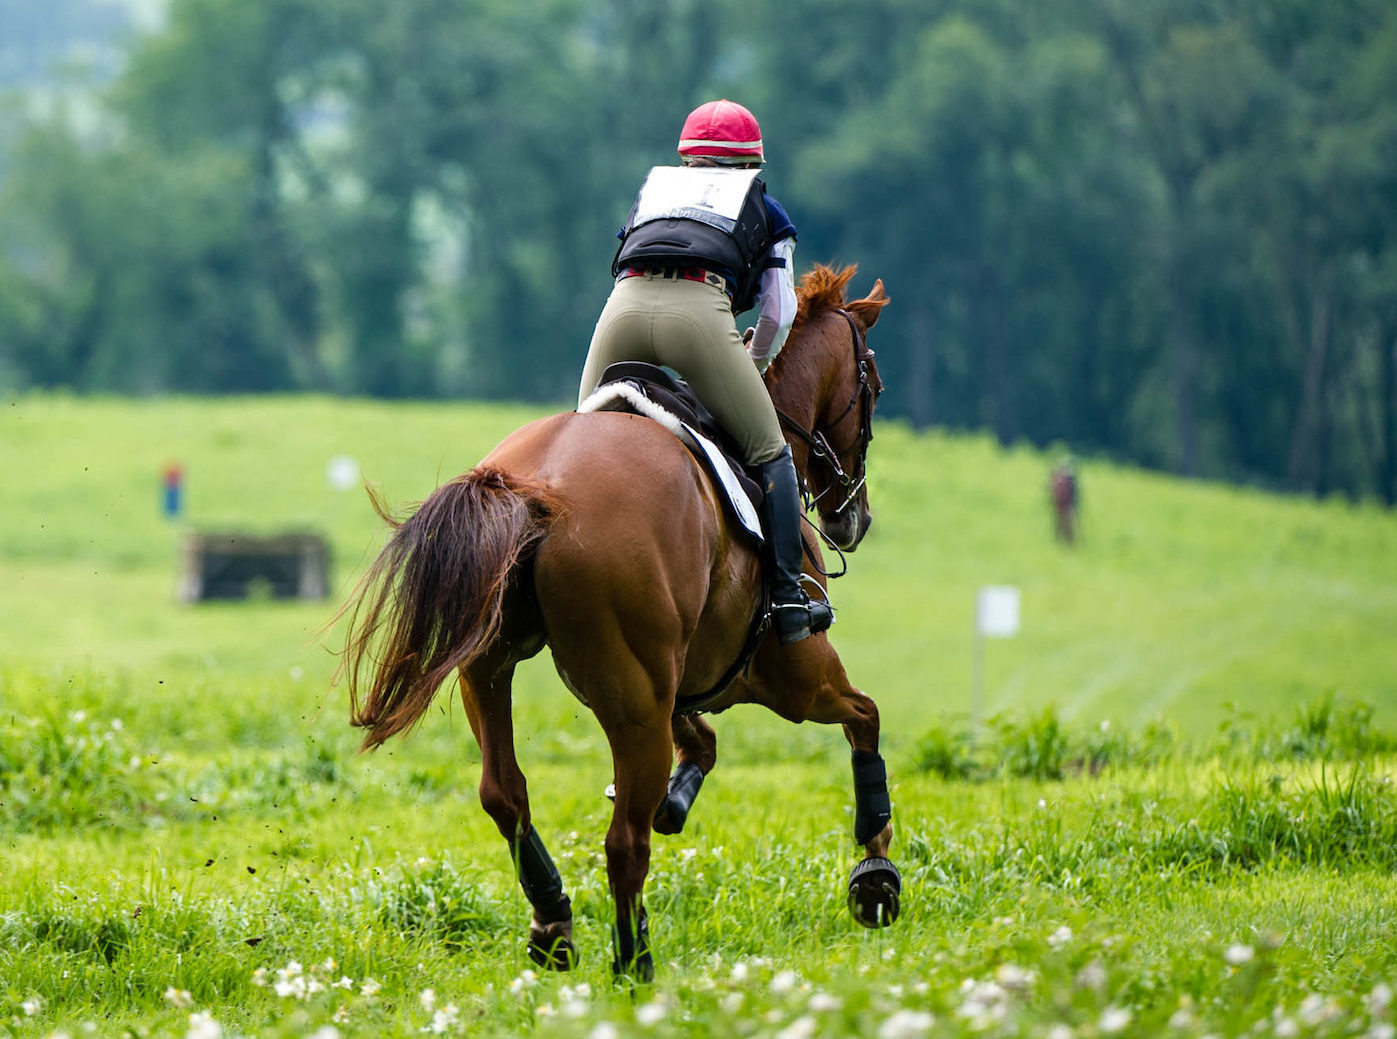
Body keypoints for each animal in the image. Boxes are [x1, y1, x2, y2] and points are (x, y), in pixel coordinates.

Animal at [339, 264, 897, 980]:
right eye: (873, 385)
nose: (854, 519)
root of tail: (537, 490)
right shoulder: (790, 678)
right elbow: (865, 718)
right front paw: (876, 875)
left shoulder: (680, 683)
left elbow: (703, 744)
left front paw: (675, 802)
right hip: (641, 699)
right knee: (623, 841)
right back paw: (635, 964)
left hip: (494, 670)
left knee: (505, 793)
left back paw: (554, 920)